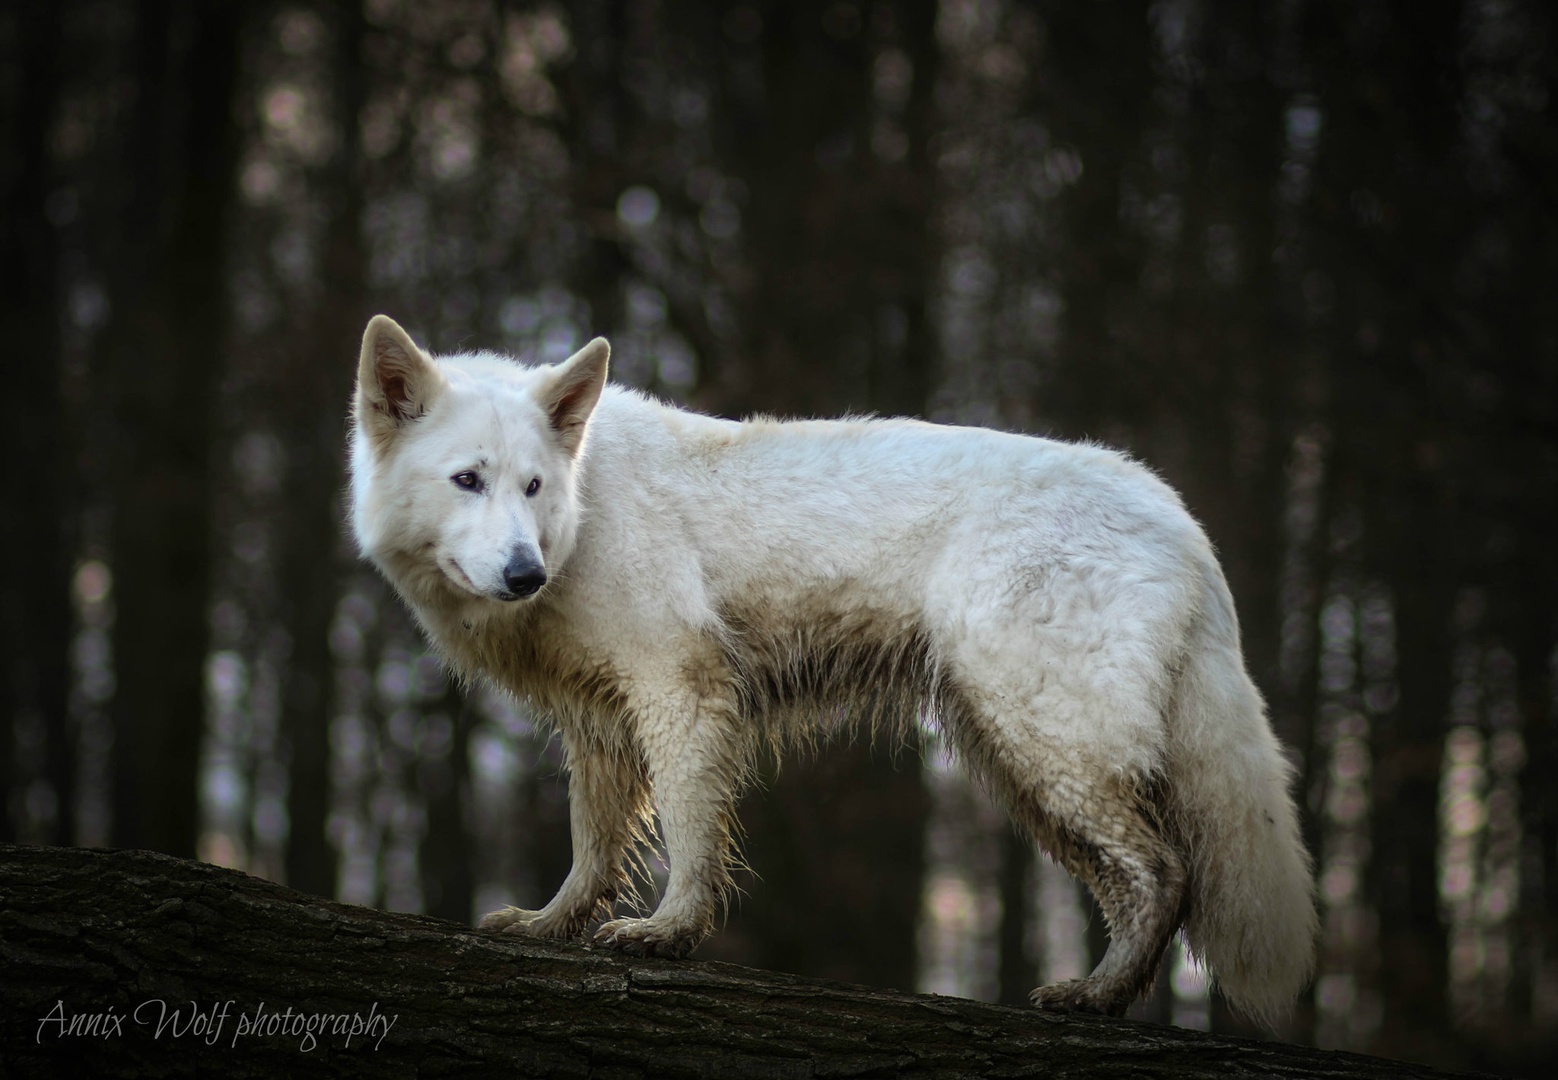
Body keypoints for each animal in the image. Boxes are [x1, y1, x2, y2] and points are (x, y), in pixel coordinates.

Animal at [348, 314, 1317, 1022]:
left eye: (533, 487)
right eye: (469, 481)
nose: (525, 573)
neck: (583, 514)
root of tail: (1177, 517)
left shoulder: (682, 691)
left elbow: (690, 838)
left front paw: (667, 934)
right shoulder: (602, 727)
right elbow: (595, 849)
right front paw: (553, 926)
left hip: (1045, 744)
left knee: (1165, 876)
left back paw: (1099, 996)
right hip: (1019, 760)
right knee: (1138, 883)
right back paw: (1101, 996)